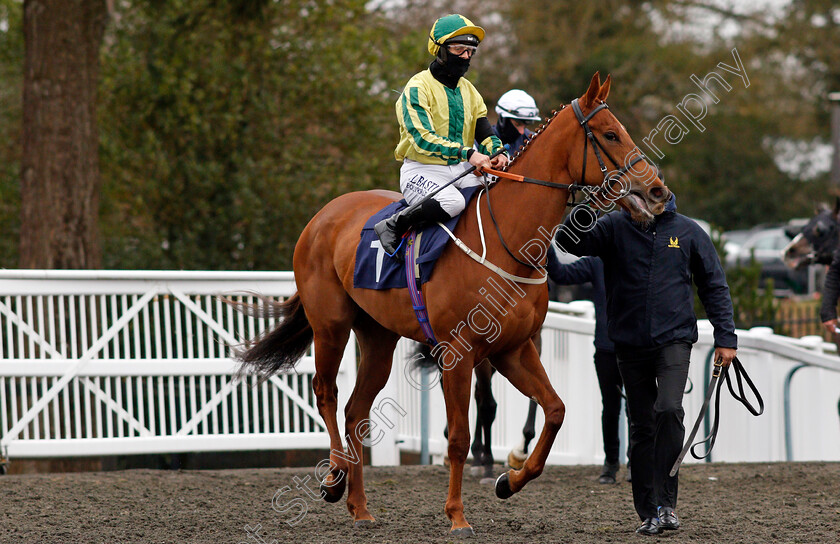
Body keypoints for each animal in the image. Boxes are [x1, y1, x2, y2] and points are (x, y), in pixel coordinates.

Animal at [233, 73, 668, 536]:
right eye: (610, 134)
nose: (656, 190)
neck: (507, 241)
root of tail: (324, 215)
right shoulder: (458, 354)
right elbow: (460, 436)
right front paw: (457, 514)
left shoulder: (514, 349)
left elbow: (554, 410)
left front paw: (509, 480)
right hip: (330, 325)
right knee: (326, 393)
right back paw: (334, 478)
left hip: (379, 338)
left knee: (355, 412)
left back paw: (360, 506)